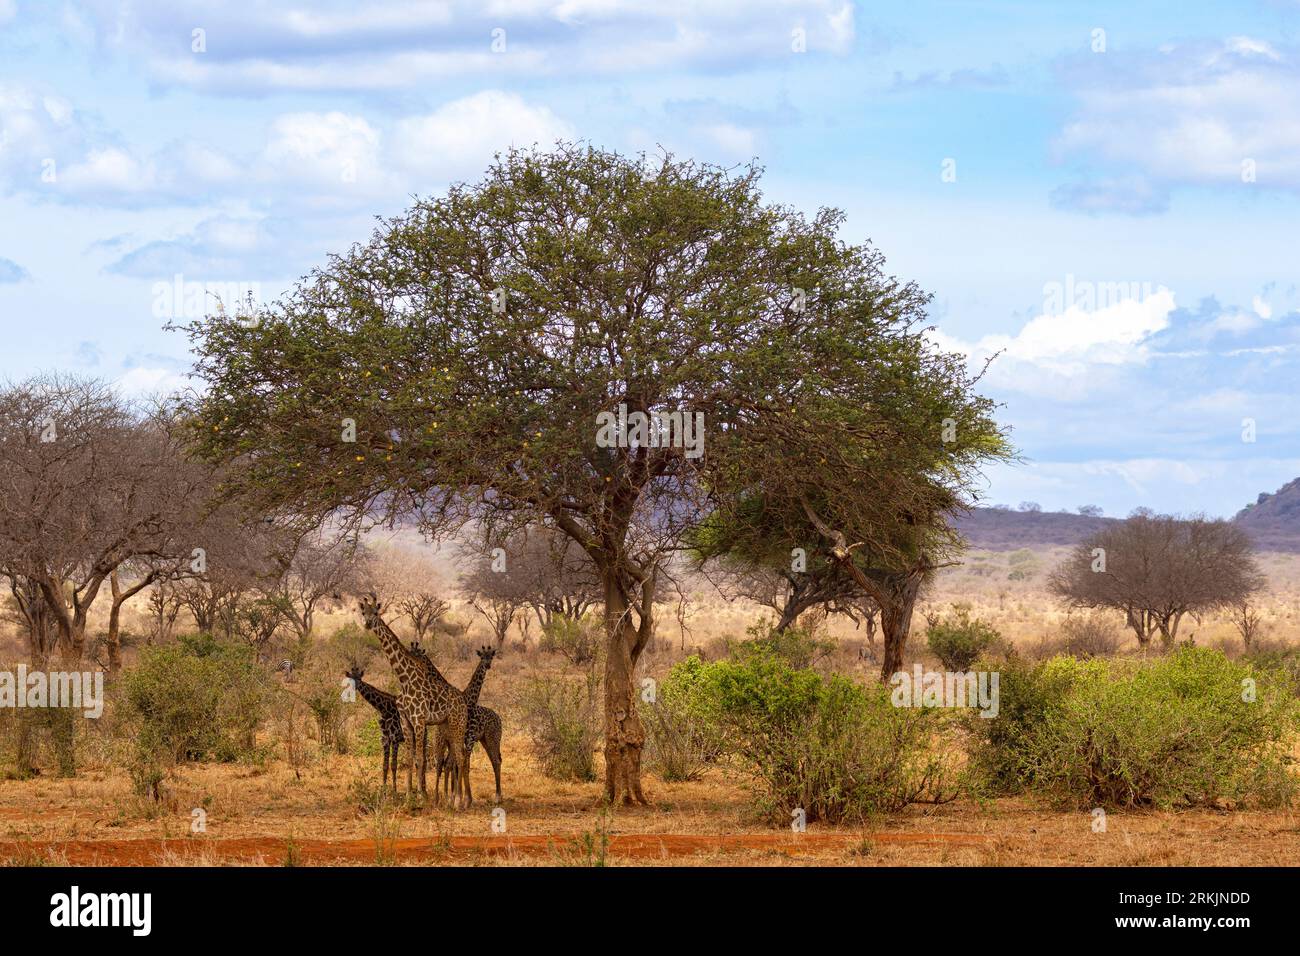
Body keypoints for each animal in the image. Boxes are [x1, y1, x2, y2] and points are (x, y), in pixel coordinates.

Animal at [358, 598, 475, 806]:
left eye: (376, 613)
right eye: (364, 613)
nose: (368, 624)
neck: (404, 678)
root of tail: (462, 701)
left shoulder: (419, 720)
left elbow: (420, 759)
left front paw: (420, 797)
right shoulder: (406, 721)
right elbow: (409, 759)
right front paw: (408, 796)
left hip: (458, 723)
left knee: (461, 758)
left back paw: (459, 801)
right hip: (447, 725)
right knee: (456, 757)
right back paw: (458, 800)